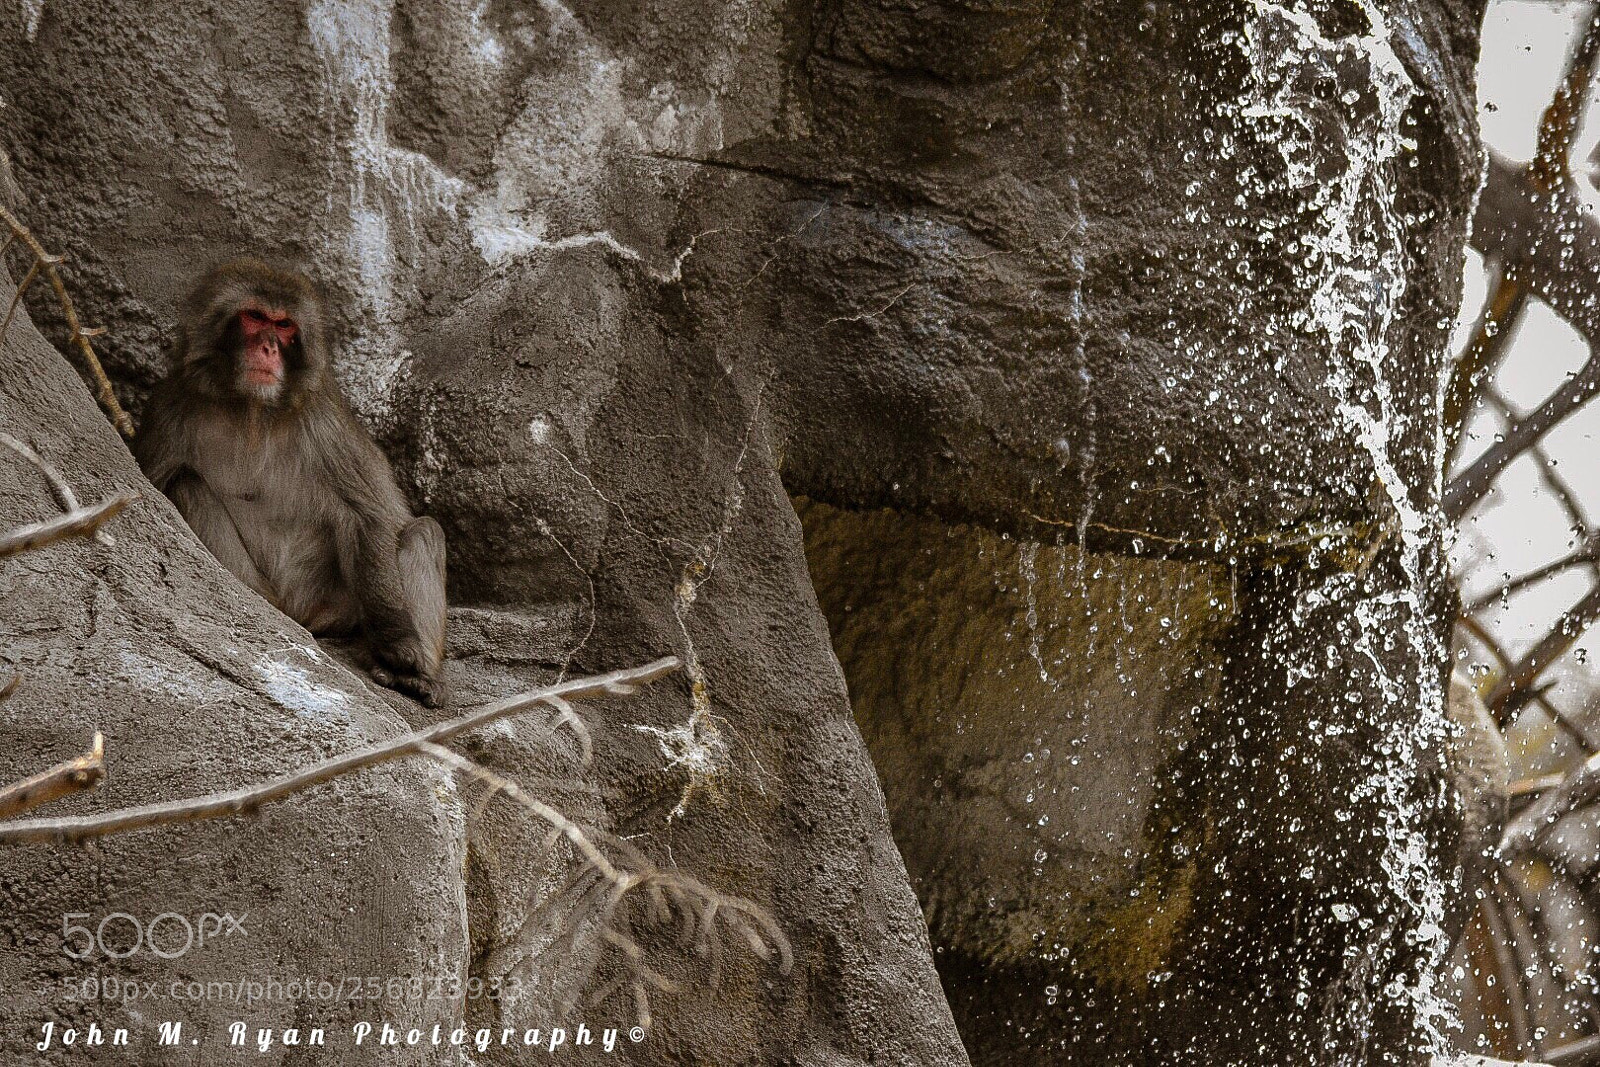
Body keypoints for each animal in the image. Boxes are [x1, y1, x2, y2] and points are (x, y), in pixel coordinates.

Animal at [136, 259, 449, 707]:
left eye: (283, 326)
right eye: (254, 317)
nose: (268, 346)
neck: (251, 408)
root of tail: (300, 614)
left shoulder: (323, 420)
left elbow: (369, 517)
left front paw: (398, 643)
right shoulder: (171, 406)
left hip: (336, 604)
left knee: (424, 532)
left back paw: (412, 674)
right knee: (185, 484)